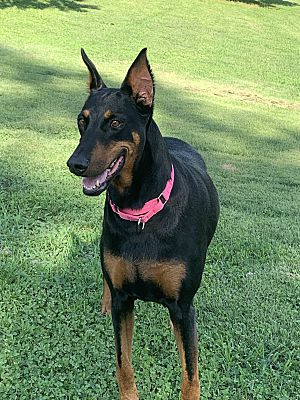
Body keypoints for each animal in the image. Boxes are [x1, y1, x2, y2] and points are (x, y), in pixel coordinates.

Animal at [67, 48, 219, 398]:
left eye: (115, 122)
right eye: (82, 121)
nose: (74, 164)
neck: (139, 213)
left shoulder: (182, 304)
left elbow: (190, 374)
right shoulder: (124, 301)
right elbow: (123, 363)